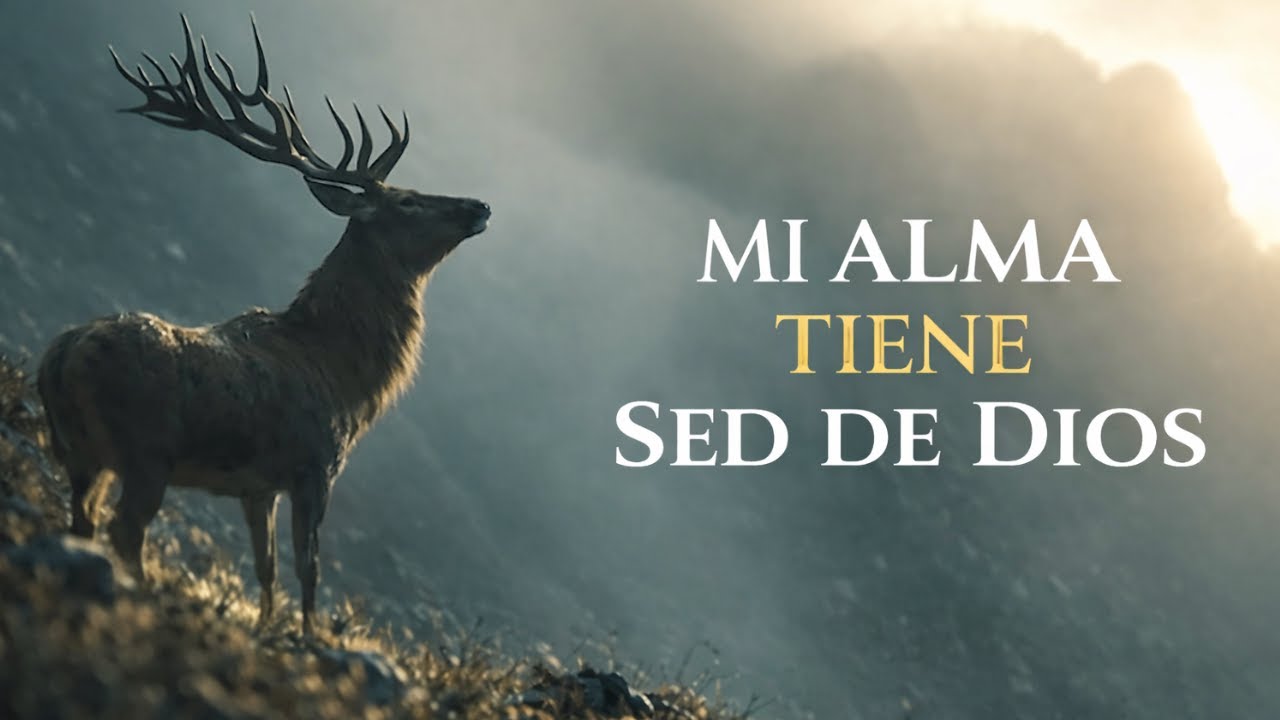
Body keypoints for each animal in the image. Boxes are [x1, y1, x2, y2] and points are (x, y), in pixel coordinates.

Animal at [36, 15, 490, 634]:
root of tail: (59, 359)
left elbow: (266, 568)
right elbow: (309, 571)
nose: (479, 207)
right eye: (409, 202)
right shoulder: (314, 466)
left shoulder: (258, 488)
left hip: (80, 452)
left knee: (82, 519)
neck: (346, 377)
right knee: (123, 529)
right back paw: (144, 591)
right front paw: (306, 636)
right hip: (144, 451)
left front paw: (265, 625)